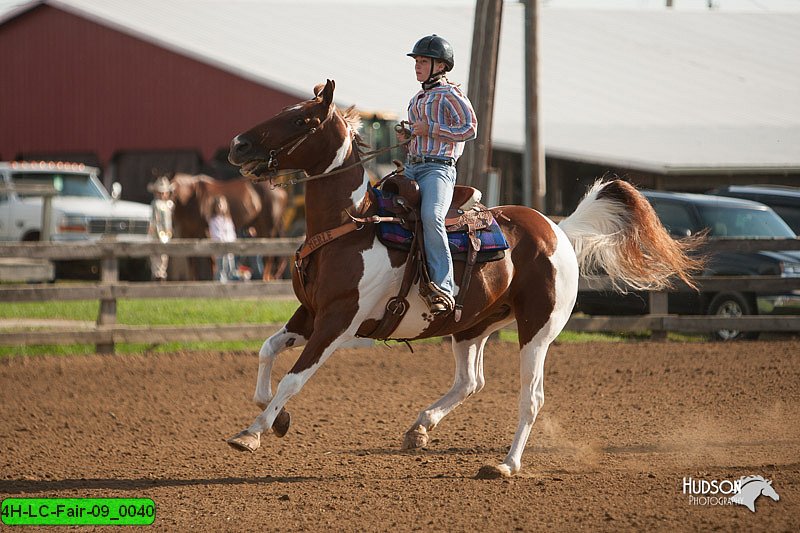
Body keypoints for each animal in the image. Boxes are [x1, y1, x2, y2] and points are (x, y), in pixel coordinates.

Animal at [225, 80, 700, 478]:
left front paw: (252, 432)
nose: (238, 144)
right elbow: (268, 351)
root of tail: (558, 231)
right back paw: (420, 428)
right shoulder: (309, 313)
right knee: (471, 381)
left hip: (538, 330)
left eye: (301, 120)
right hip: (472, 326)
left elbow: (294, 377)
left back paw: (505, 465)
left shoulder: (337, 321)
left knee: (531, 397)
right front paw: (278, 418)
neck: (350, 224)